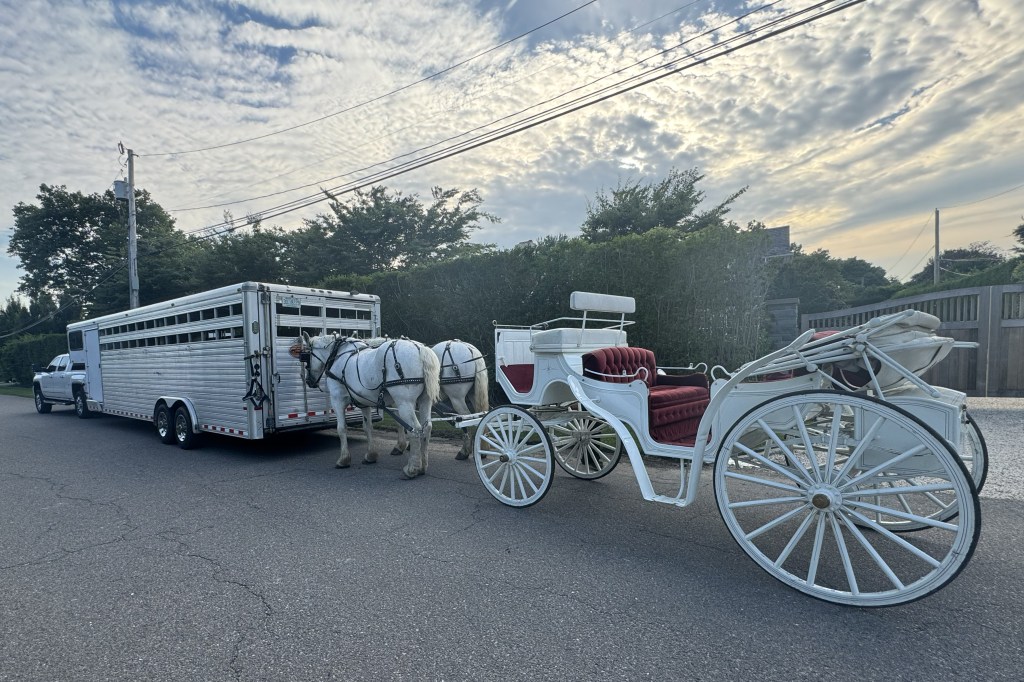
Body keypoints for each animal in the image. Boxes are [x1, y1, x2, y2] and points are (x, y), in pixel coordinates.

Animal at [294, 331, 442, 475]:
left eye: (306, 356)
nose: (308, 380)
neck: (337, 356)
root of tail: (420, 348)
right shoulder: (363, 402)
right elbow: (368, 427)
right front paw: (371, 455)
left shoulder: (337, 400)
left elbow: (341, 428)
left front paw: (343, 459)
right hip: (424, 400)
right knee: (426, 428)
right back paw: (422, 466)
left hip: (404, 402)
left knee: (415, 429)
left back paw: (412, 468)